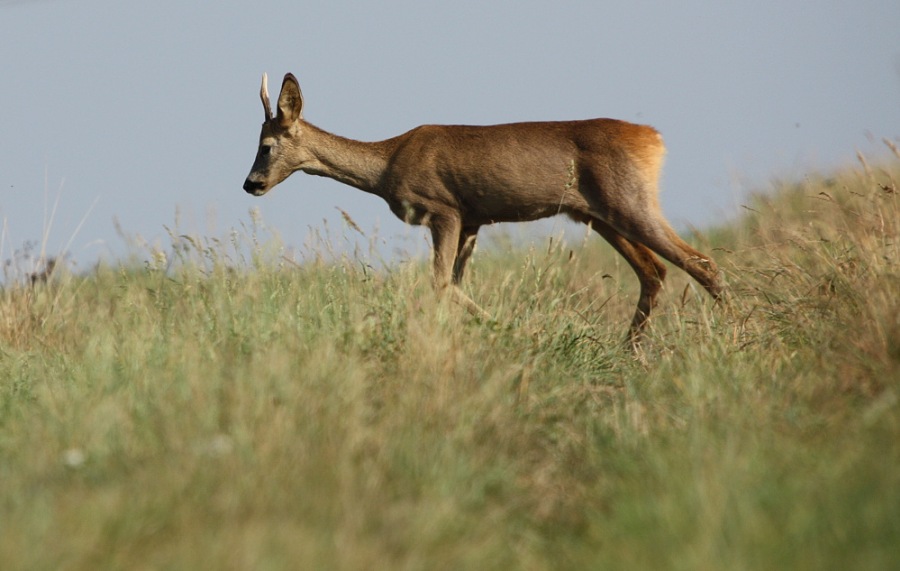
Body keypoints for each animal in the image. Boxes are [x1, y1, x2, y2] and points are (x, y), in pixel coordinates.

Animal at [244, 72, 722, 346]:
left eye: (265, 147)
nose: (251, 184)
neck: (386, 166)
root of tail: (654, 139)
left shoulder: (444, 209)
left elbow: (439, 282)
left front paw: (510, 330)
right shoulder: (473, 219)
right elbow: (454, 283)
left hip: (630, 201)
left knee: (701, 262)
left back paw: (729, 336)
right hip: (600, 214)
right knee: (654, 271)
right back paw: (630, 349)